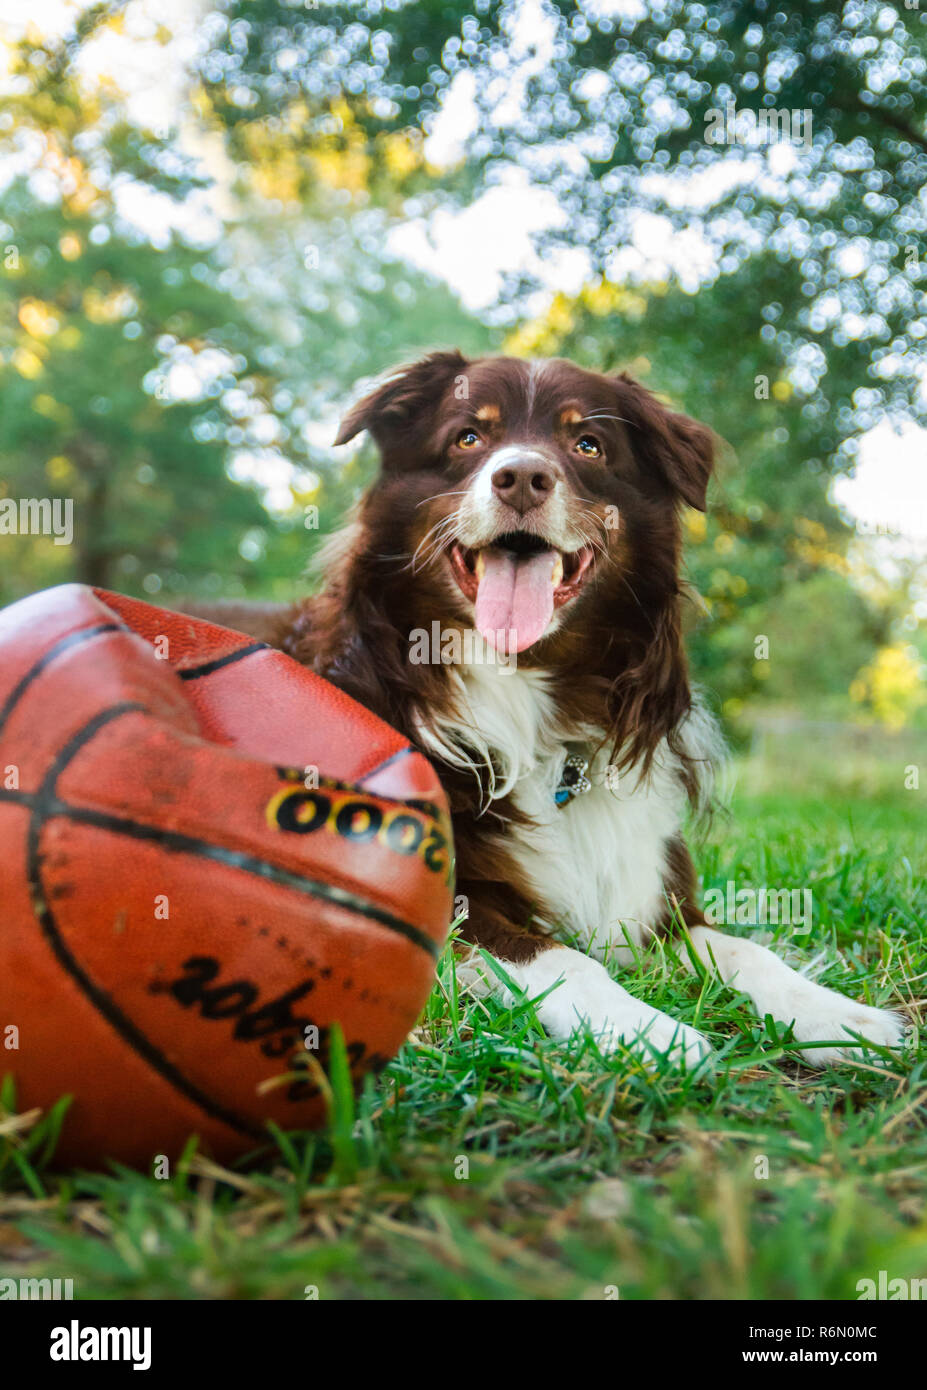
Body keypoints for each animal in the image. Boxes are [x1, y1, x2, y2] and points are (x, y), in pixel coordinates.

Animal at [272, 353, 900, 1067]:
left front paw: (839, 1017)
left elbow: (744, 950)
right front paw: (653, 1033)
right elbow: (563, 959)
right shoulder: (443, 900)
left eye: (588, 445)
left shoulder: (653, 891)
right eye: (468, 438)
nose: (521, 477)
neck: (531, 697)